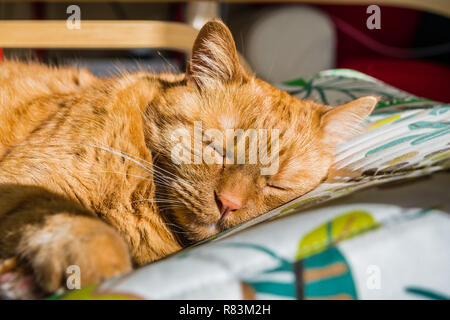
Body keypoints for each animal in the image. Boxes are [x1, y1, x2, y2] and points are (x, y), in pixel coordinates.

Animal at [0, 19, 376, 296]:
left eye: (277, 185)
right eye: (215, 147)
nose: (228, 204)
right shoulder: (29, 177)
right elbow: (63, 213)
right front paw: (95, 262)